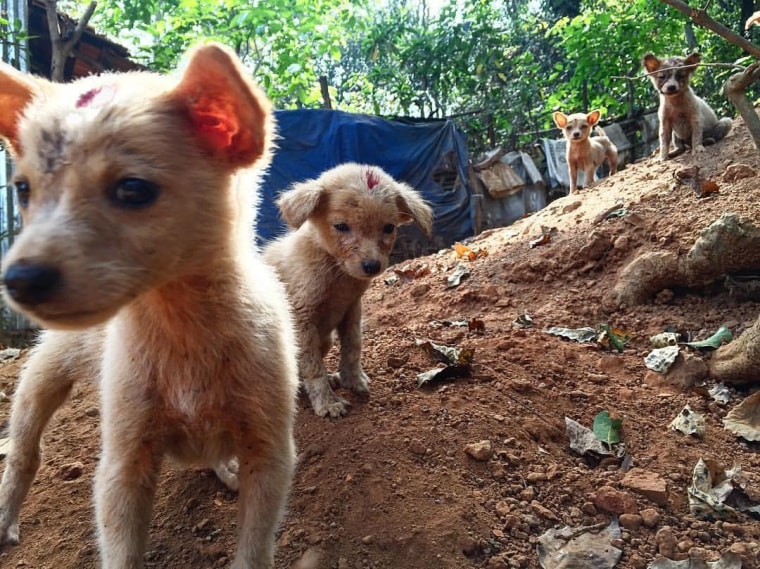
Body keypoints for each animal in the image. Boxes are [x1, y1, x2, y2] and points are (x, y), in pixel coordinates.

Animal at [0, 41, 298, 568]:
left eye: (133, 189)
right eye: (22, 189)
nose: (19, 280)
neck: (180, 326)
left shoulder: (271, 448)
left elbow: (254, 547)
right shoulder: (123, 458)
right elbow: (121, 548)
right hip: (44, 370)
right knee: (22, 453)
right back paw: (5, 519)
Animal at [266, 164, 434, 418]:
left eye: (389, 228)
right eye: (341, 226)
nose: (372, 266)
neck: (336, 272)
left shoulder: (351, 308)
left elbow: (353, 345)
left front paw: (352, 380)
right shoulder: (301, 318)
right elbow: (312, 366)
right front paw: (327, 403)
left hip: (325, 339)